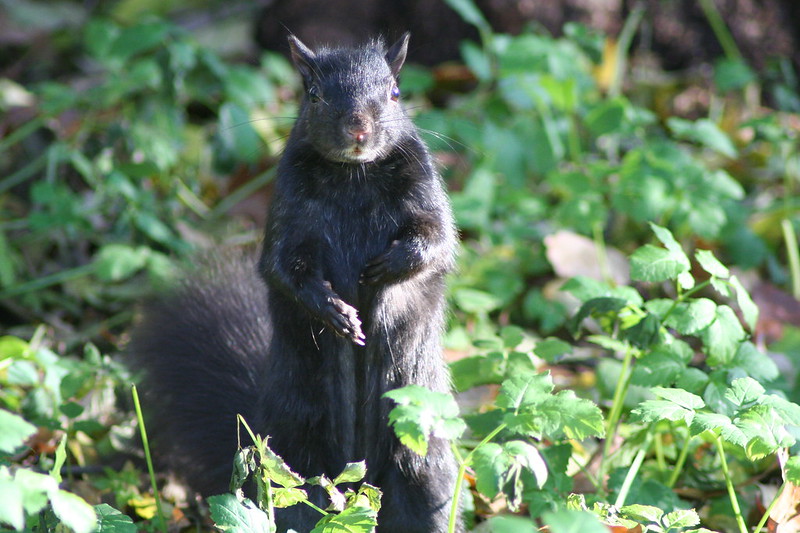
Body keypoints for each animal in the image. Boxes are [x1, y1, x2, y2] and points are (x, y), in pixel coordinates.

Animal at [129, 33, 462, 533]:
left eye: (395, 92)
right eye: (315, 95)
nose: (358, 130)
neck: (353, 175)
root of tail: (359, 487)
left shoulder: (424, 192)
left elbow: (436, 240)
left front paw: (386, 277)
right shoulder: (288, 211)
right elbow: (284, 269)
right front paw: (335, 312)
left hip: (419, 452)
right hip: (293, 459)